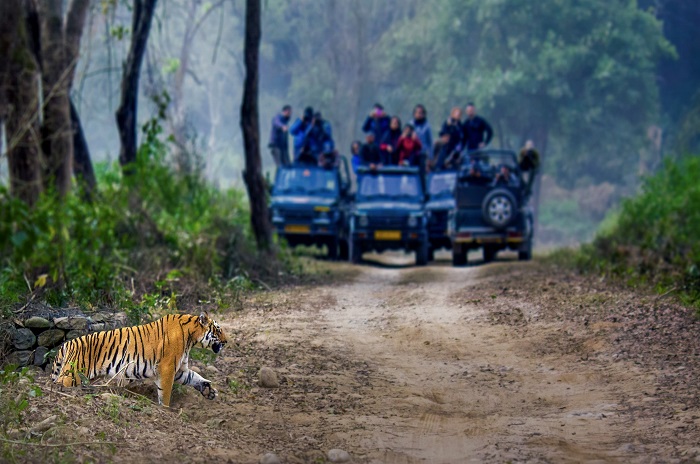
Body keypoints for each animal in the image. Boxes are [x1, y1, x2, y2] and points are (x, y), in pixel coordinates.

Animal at [50, 312, 228, 406]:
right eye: (218, 330)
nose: (226, 342)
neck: (192, 337)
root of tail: (68, 343)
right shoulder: (167, 367)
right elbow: (165, 391)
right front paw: (165, 408)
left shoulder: (180, 370)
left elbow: (194, 377)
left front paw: (208, 390)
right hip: (73, 374)